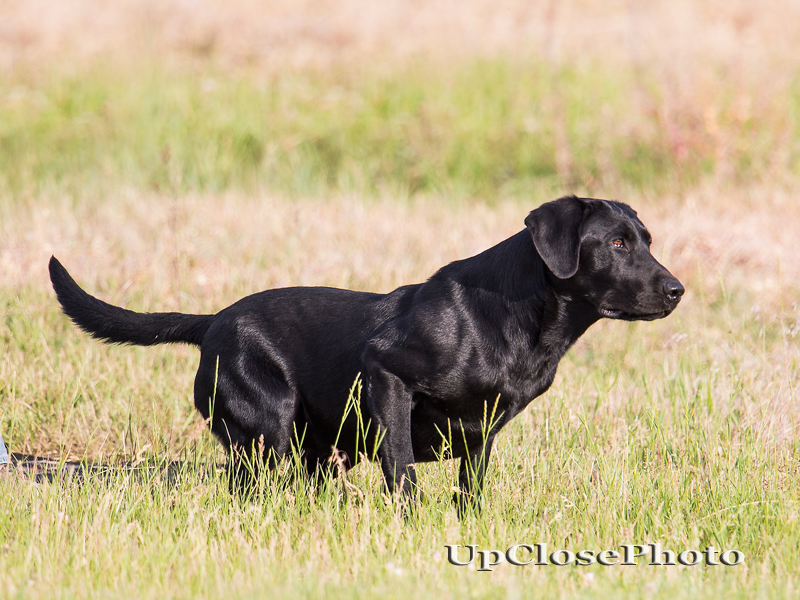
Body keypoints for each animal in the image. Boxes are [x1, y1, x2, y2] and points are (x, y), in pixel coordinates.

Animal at [48, 196, 680, 510]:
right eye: (616, 243)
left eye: (648, 240)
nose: (677, 290)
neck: (515, 316)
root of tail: (213, 322)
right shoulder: (387, 375)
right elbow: (401, 471)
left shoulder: (483, 431)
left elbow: (469, 491)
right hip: (266, 430)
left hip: (318, 447)